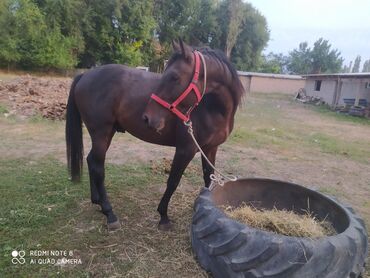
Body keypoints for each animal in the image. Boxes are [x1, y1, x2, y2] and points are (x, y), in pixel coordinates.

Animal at [66, 39, 246, 230]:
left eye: (174, 77)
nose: (147, 118)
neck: (212, 108)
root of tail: (85, 75)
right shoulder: (185, 149)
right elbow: (173, 181)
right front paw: (163, 216)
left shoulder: (210, 149)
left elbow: (209, 179)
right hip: (101, 133)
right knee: (98, 168)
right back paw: (109, 213)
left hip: (106, 134)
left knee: (91, 160)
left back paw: (97, 201)